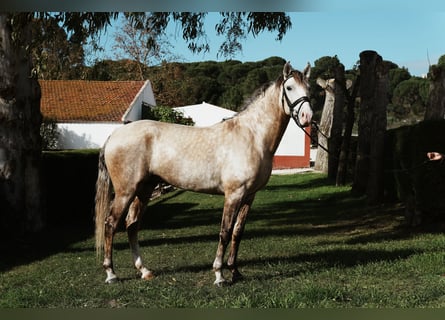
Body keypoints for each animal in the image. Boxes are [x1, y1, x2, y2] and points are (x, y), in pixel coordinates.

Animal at [94, 60, 312, 284]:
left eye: (309, 88)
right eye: (289, 88)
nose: (307, 116)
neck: (251, 136)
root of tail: (114, 135)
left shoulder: (249, 196)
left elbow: (237, 232)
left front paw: (235, 271)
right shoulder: (234, 194)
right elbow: (225, 232)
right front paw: (219, 275)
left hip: (144, 190)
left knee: (132, 224)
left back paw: (144, 270)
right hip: (125, 192)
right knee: (111, 224)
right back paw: (111, 273)